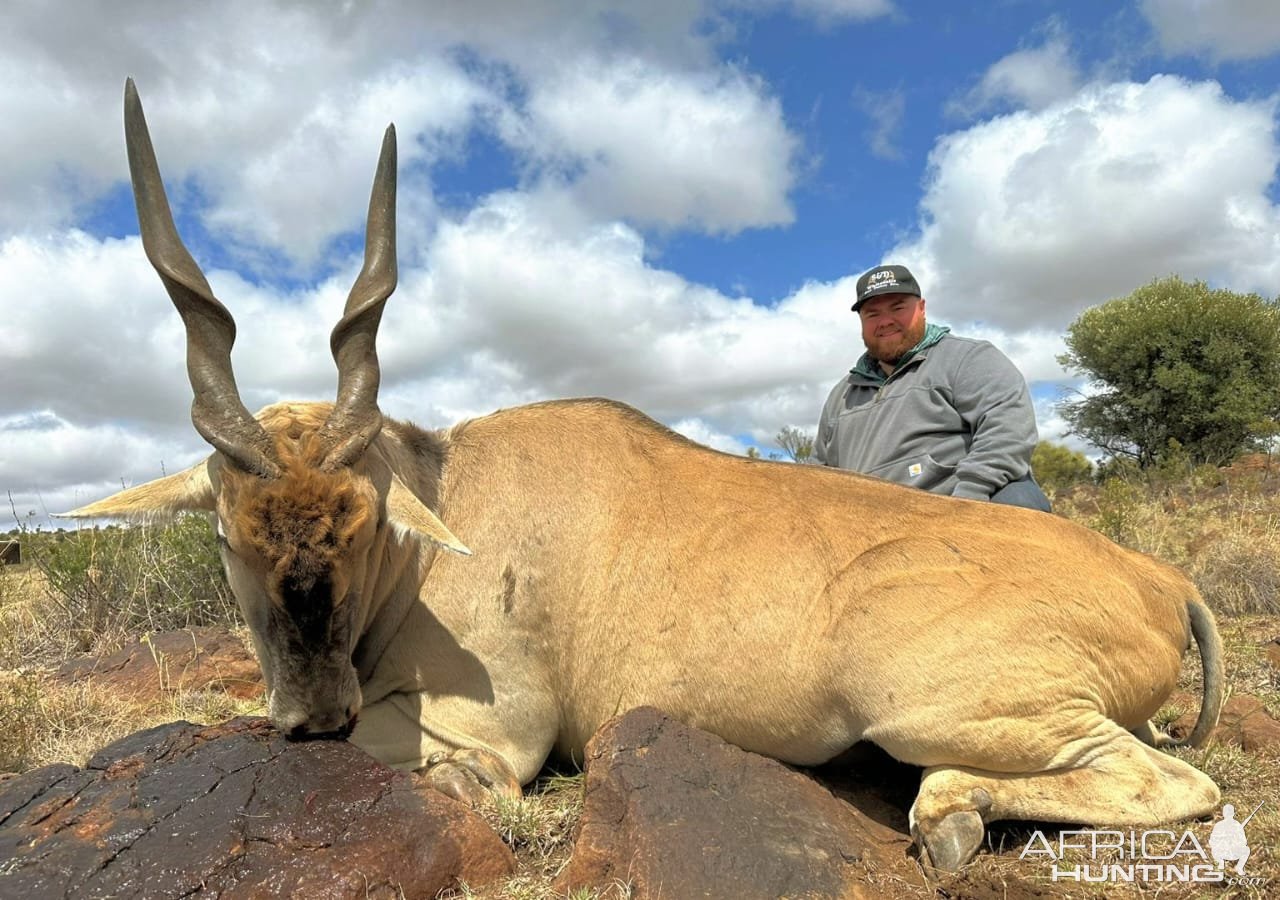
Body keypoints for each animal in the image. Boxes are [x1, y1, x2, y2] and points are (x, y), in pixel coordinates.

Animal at [67, 80, 1218, 870]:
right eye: (230, 534)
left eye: (360, 522)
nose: (311, 717)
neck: (442, 512)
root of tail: (1164, 583)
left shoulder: (488, 737)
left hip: (939, 705)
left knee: (1173, 781)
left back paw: (950, 814)